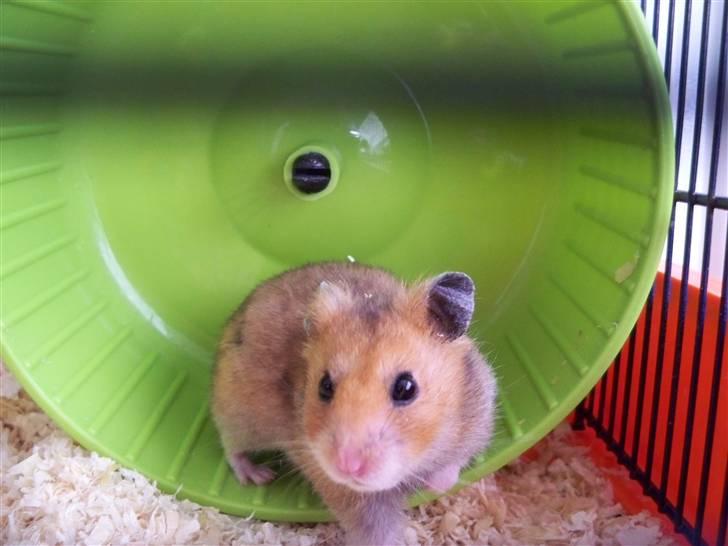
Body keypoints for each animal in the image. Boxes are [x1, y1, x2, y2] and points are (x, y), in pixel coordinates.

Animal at [212, 262, 496, 545]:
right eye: (324, 386)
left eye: (406, 387)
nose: (347, 466)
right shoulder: (354, 499)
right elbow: (376, 532)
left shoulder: (478, 410)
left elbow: (458, 457)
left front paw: (435, 485)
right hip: (236, 411)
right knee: (231, 446)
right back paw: (258, 476)